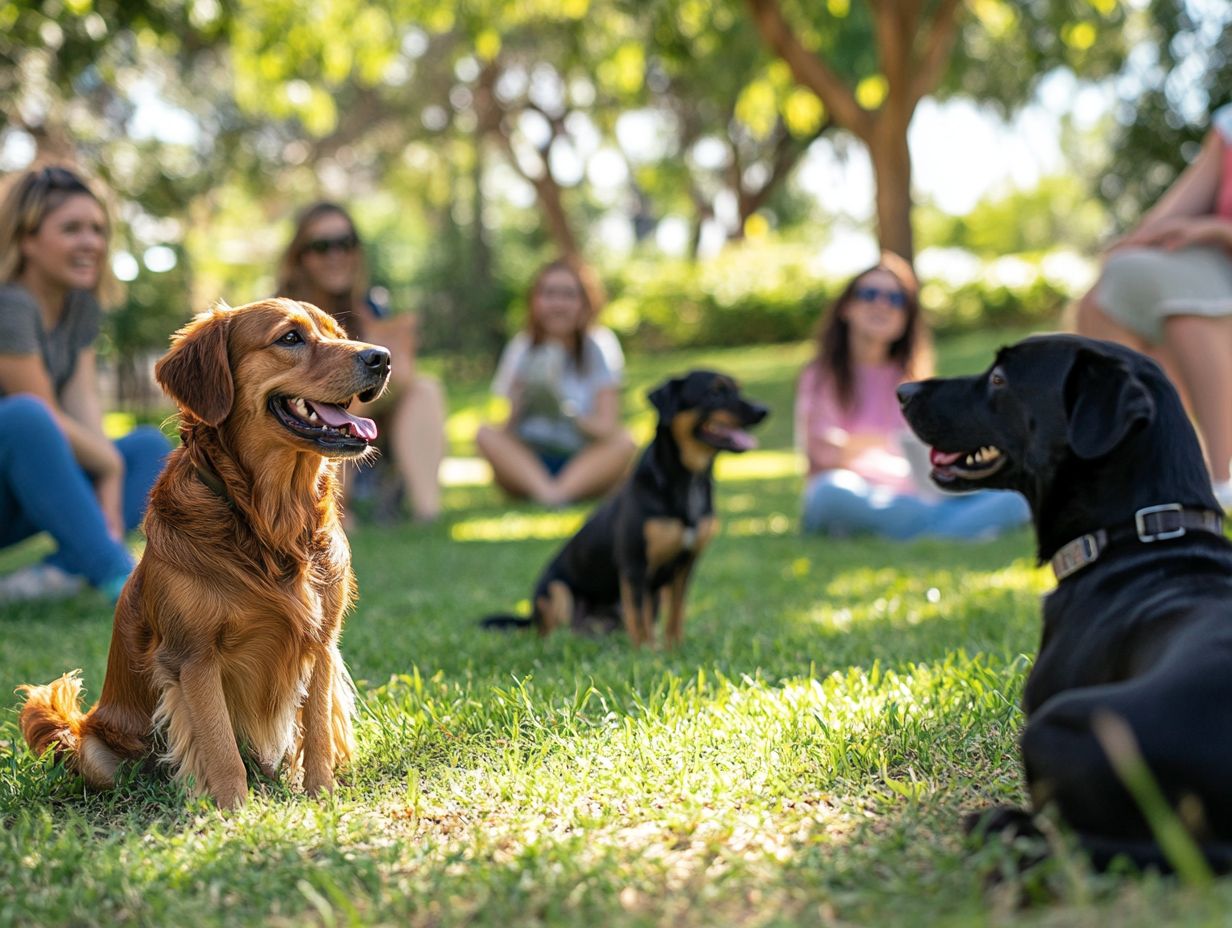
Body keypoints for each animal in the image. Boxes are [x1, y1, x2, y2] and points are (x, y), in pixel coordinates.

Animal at [19, 297, 389, 803]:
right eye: (290, 338)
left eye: (339, 334)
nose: (382, 357)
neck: (269, 522)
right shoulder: (193, 657)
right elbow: (219, 747)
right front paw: (234, 810)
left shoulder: (322, 643)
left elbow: (316, 732)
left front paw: (321, 797)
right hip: (95, 751)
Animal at [485, 367, 763, 645]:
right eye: (714, 393)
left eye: (738, 389)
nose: (763, 409)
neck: (687, 481)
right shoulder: (634, 566)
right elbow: (639, 618)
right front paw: (645, 650)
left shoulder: (684, 566)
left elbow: (674, 613)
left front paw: (673, 647)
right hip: (557, 591)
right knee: (553, 630)